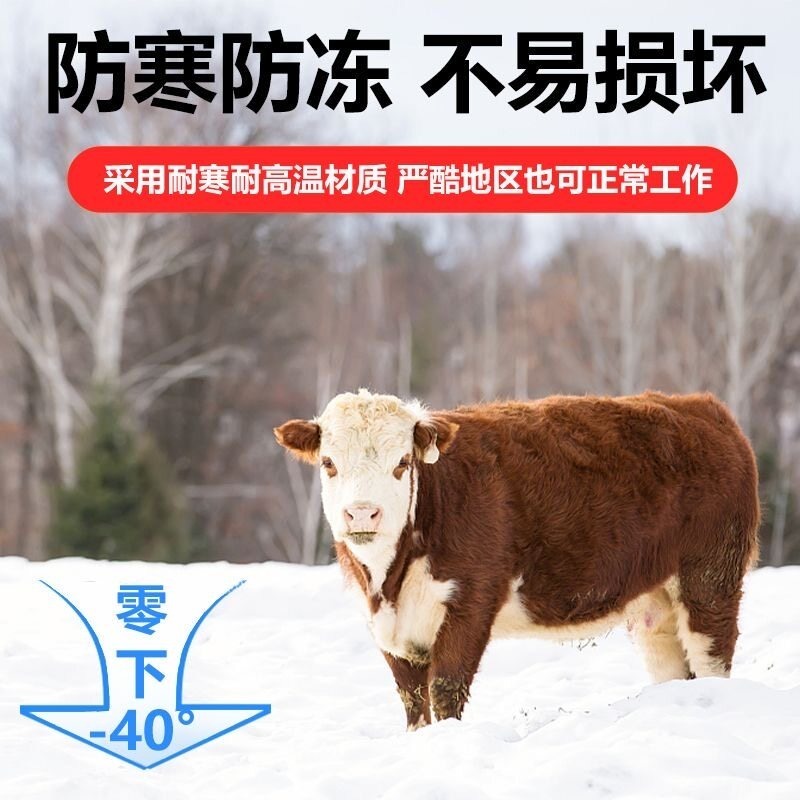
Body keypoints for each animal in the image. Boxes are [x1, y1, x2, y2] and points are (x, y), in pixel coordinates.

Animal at [274, 389, 760, 730]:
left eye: (402, 463)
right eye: (329, 463)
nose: (361, 513)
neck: (387, 581)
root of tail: (702, 407)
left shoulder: (471, 601)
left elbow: (445, 690)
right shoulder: (387, 628)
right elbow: (412, 702)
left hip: (711, 576)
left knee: (712, 653)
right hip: (655, 602)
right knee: (673, 664)